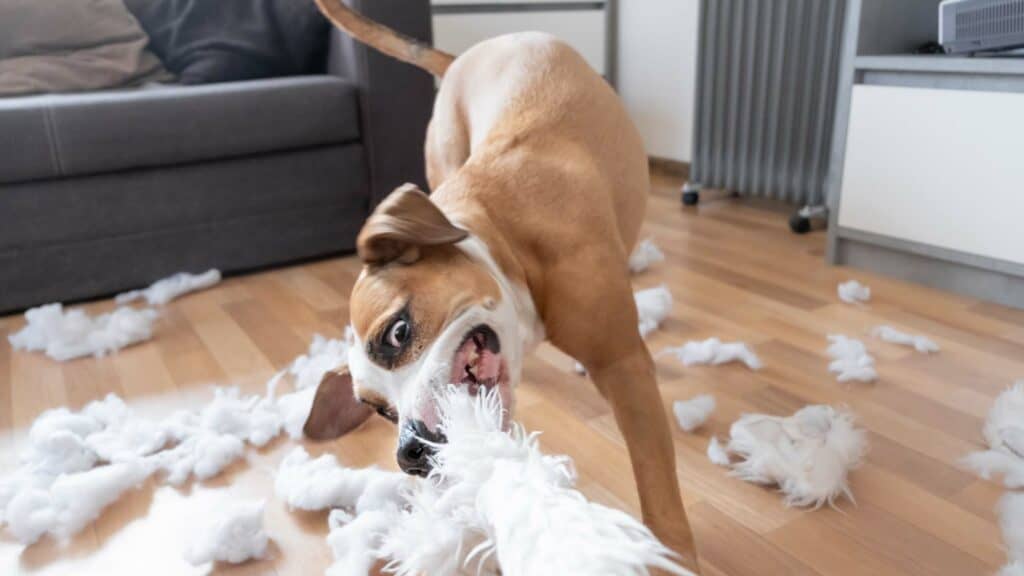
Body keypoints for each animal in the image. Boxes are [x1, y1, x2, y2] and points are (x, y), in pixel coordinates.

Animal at [303, 0, 700, 565]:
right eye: (379, 410)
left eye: (397, 333)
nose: (411, 452)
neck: (505, 239)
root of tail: (461, 57)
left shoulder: (624, 368)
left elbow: (658, 489)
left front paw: (674, 556)